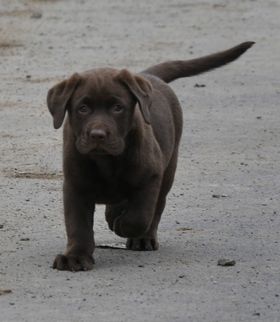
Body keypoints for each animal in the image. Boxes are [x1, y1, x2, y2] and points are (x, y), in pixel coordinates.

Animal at [47, 41, 254, 270]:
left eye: (118, 108)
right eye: (83, 108)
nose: (98, 135)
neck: (107, 161)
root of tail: (148, 75)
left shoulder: (151, 177)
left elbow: (140, 216)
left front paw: (123, 226)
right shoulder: (75, 186)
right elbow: (78, 226)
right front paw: (75, 257)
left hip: (169, 170)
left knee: (156, 208)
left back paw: (142, 238)